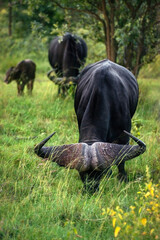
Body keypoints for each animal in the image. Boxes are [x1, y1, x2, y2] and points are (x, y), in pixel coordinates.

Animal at [34, 59, 146, 192]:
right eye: (81, 173)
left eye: (99, 173)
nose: (91, 189)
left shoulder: (125, 135)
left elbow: (122, 159)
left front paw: (122, 178)